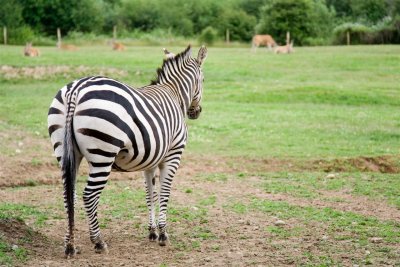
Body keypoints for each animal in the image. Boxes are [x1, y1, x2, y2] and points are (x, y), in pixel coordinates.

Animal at [47, 45, 208, 258]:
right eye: (203, 80)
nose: (195, 112)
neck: (174, 94)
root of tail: (77, 88)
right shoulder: (173, 154)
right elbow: (164, 192)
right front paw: (163, 234)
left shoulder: (150, 161)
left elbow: (150, 194)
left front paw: (152, 232)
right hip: (103, 154)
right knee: (89, 195)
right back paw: (98, 242)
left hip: (65, 149)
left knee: (69, 194)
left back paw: (70, 245)